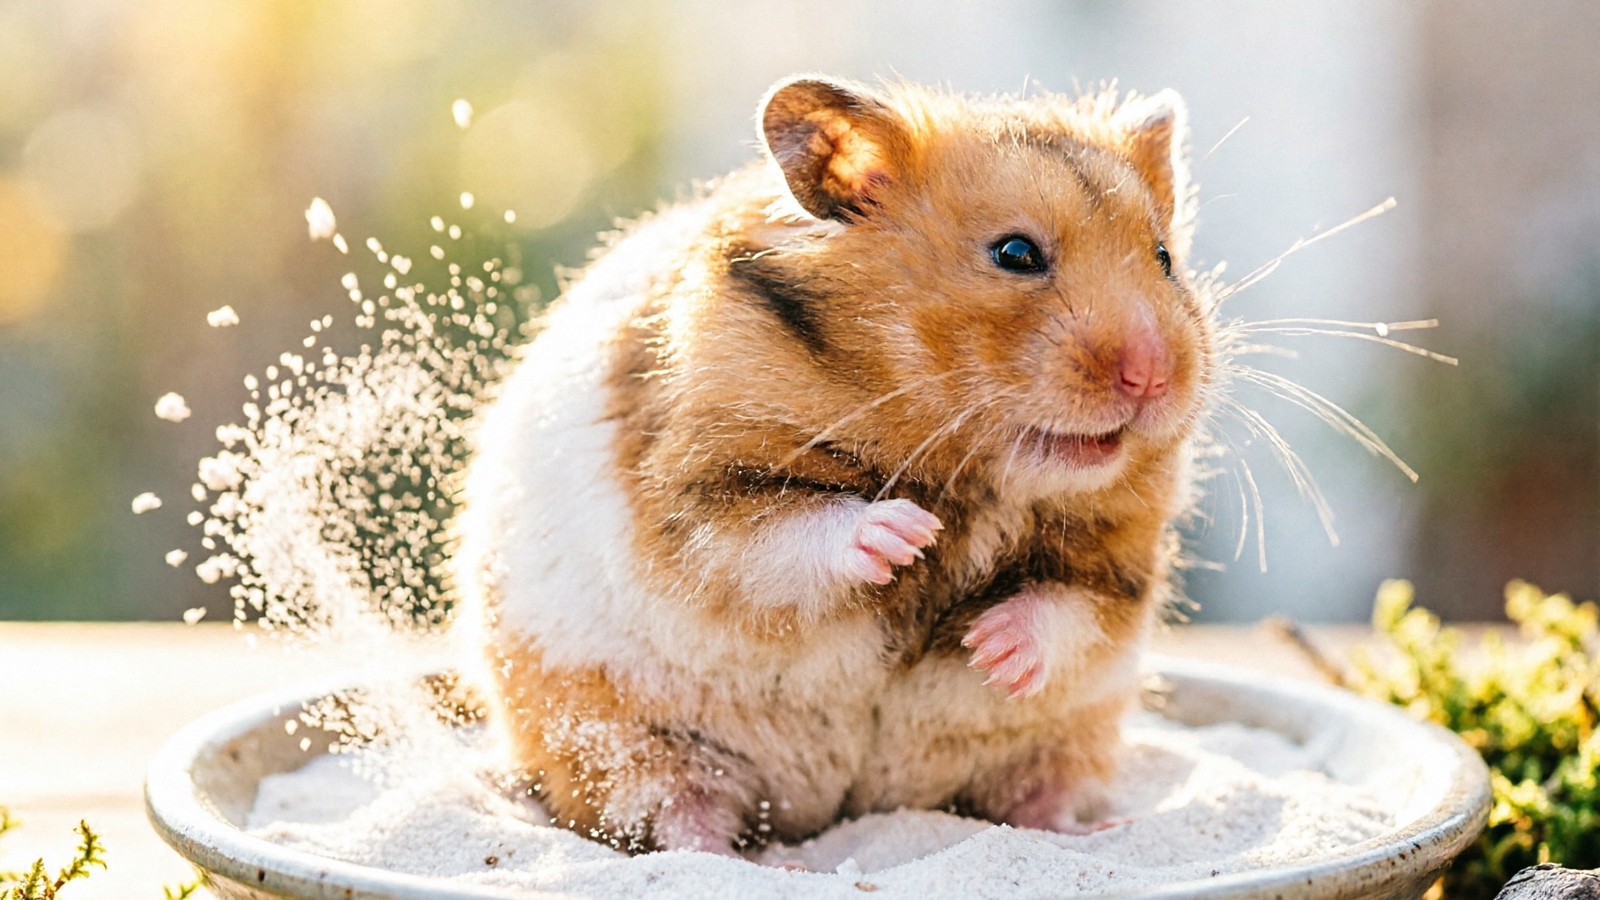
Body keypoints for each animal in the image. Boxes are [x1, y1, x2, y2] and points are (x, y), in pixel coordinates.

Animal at [454, 75, 1212, 856]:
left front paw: (988, 648)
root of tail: (837, 806)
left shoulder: (1116, 558)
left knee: (1037, 797)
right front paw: (908, 535)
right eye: (1015, 253)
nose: (1153, 378)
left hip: (1065, 738)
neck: (972, 467)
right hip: (621, 742)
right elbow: (789, 530)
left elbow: (1071, 608)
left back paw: (1099, 830)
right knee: (682, 821)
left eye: (1163, 258)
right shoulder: (699, 494)